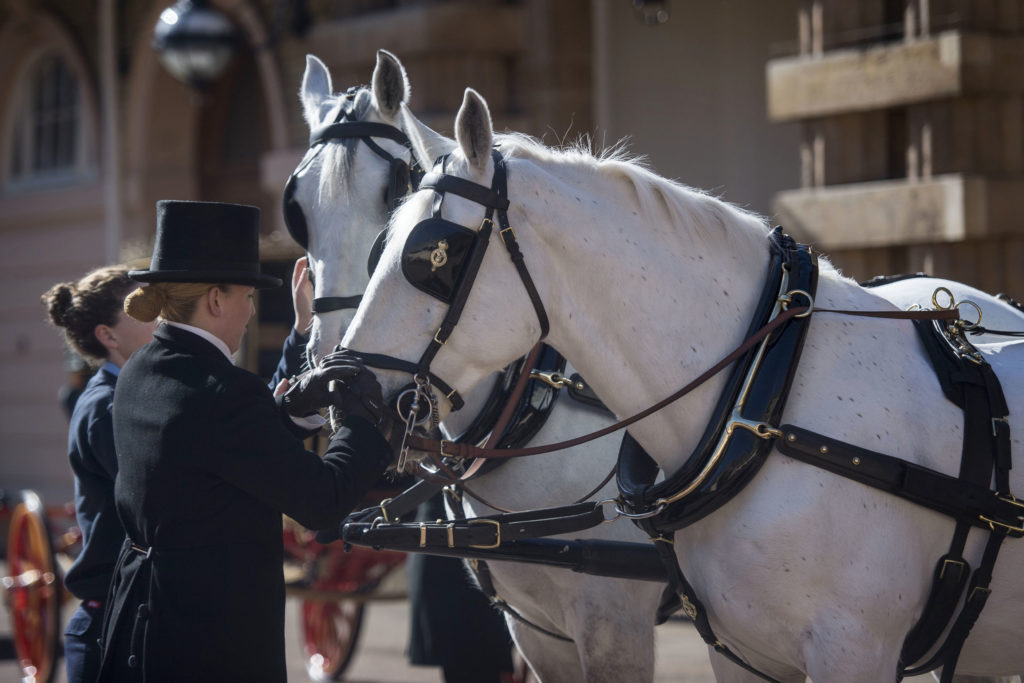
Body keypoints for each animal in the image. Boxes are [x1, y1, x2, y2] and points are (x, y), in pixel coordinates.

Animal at [342, 87, 1024, 683]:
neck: (761, 399)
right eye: (380, 246)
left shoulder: (845, 649)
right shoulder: (733, 651)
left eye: (434, 255)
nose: (337, 389)